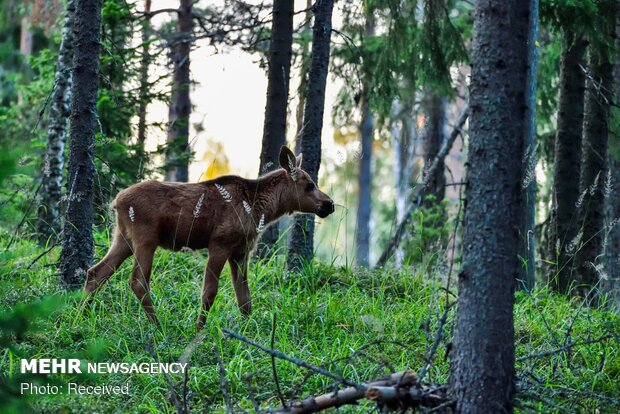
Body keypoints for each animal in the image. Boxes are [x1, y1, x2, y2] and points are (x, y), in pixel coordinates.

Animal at [86, 146, 334, 330]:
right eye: (309, 185)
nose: (329, 204)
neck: (261, 209)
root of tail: (116, 201)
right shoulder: (219, 245)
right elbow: (209, 292)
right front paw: (198, 329)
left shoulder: (241, 252)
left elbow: (245, 300)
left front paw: (247, 332)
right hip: (145, 239)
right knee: (137, 281)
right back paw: (157, 325)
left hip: (122, 238)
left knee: (96, 272)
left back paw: (81, 312)